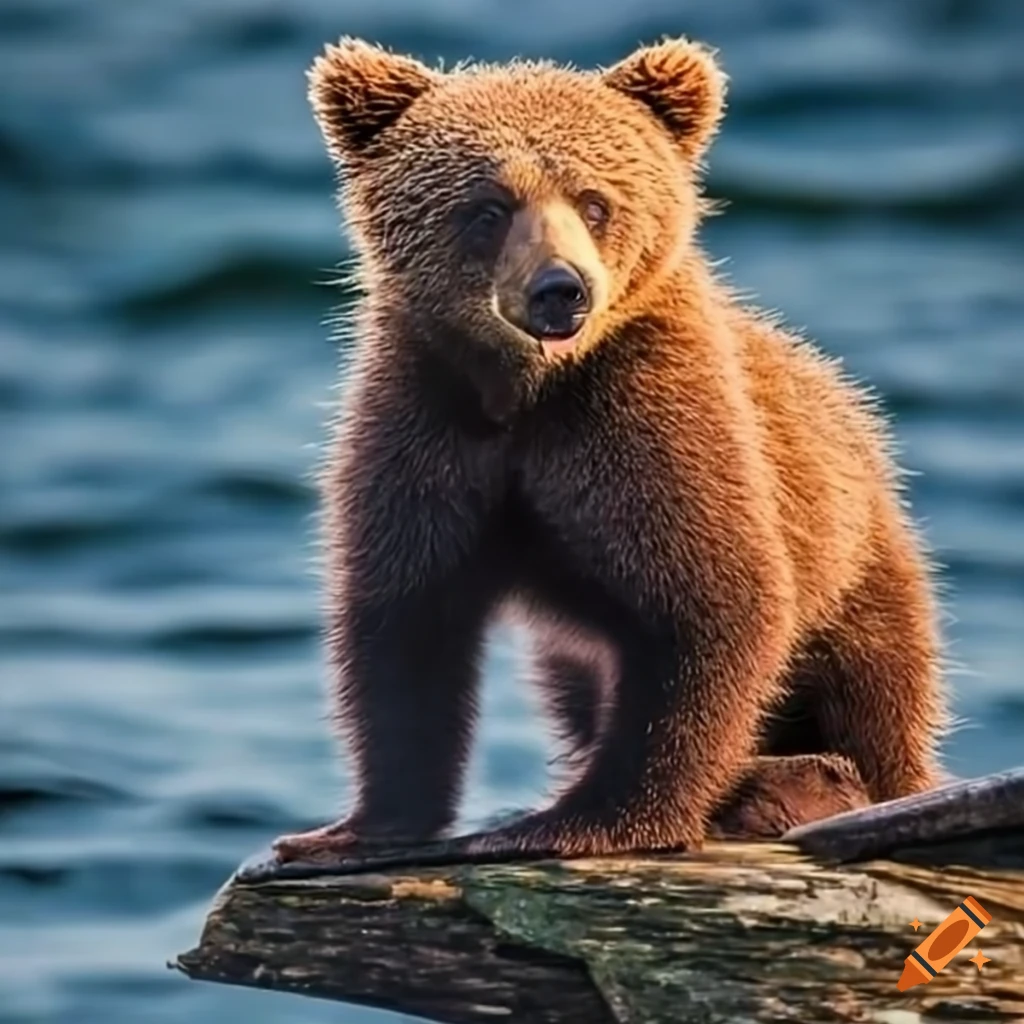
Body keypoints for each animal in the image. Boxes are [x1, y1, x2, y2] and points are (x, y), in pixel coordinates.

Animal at [271, 37, 947, 870]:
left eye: (595, 201)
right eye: (489, 209)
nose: (560, 289)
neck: (529, 392)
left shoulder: (647, 426)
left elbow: (711, 604)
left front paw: (592, 817)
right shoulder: (428, 427)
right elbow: (406, 620)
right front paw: (349, 829)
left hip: (855, 557)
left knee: (874, 689)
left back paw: (816, 780)